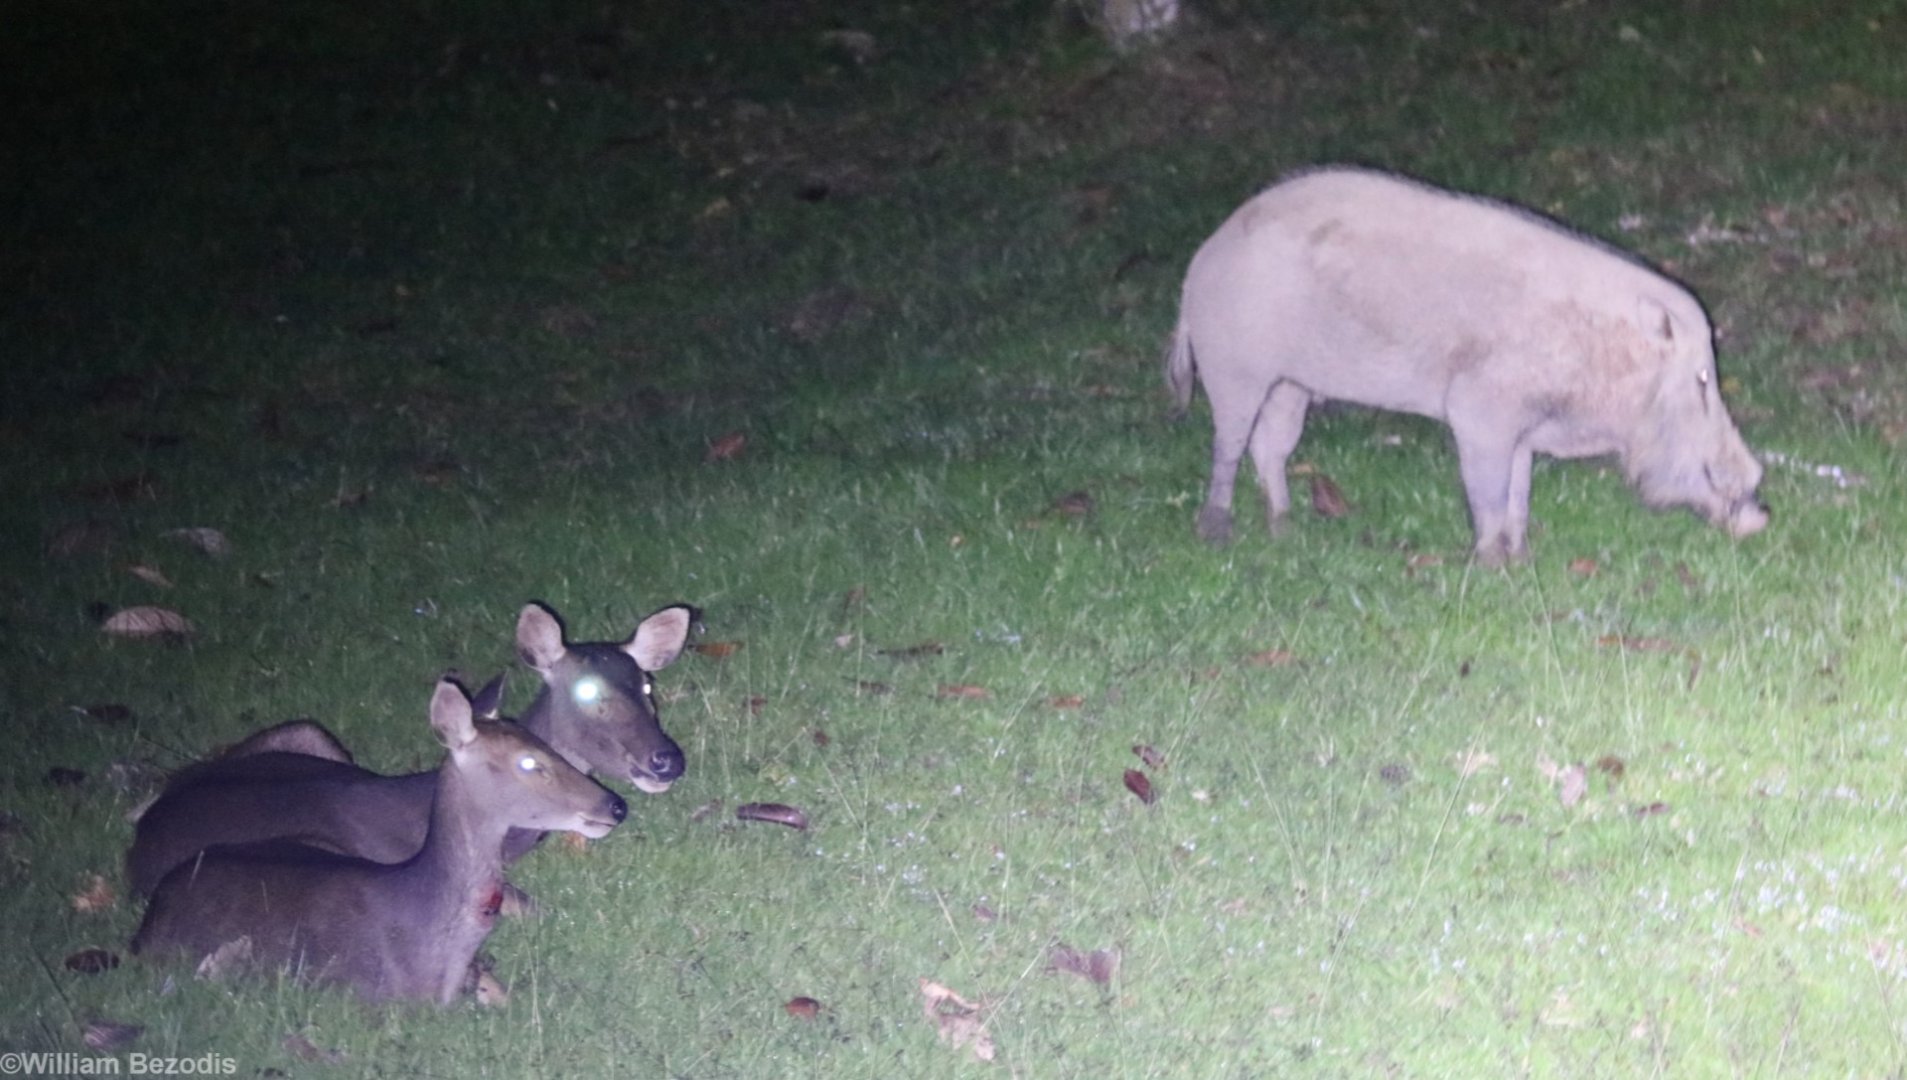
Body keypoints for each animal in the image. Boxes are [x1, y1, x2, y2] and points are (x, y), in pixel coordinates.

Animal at [1165, 166, 1768, 565]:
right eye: (1703, 378)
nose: (1759, 510)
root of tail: (1199, 264)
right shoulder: (1479, 411)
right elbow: (1488, 491)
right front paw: (1490, 564)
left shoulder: (1521, 428)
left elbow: (1519, 490)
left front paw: (1522, 559)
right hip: (1234, 368)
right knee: (1228, 445)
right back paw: (1217, 533)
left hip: (1290, 383)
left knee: (1271, 447)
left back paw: (1284, 529)